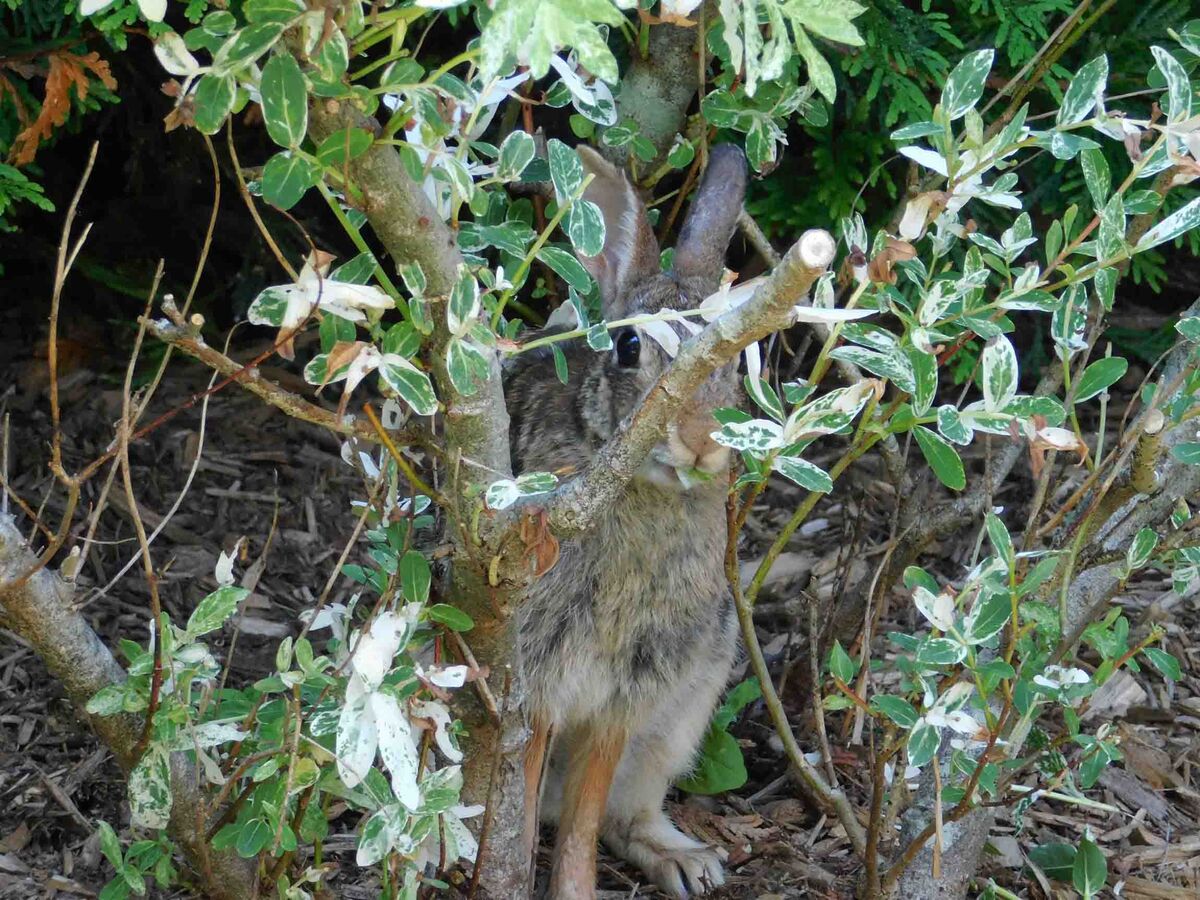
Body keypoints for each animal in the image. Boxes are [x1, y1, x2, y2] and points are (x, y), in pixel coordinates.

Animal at [504, 143, 748, 900]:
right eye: (630, 349)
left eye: (739, 360)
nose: (701, 441)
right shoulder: (538, 675)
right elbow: (519, 798)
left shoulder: (629, 687)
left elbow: (584, 817)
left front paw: (575, 891)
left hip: (686, 708)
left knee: (617, 814)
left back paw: (686, 862)